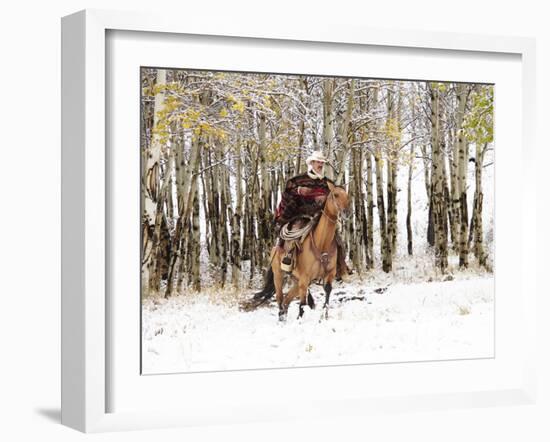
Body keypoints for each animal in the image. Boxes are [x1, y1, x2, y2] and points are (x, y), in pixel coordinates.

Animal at [253, 182, 350, 322]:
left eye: (347, 196)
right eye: (335, 194)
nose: (347, 213)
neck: (322, 243)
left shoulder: (329, 275)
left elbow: (326, 298)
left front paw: (324, 318)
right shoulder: (305, 279)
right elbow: (302, 306)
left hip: (296, 279)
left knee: (287, 300)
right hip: (279, 274)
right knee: (280, 298)